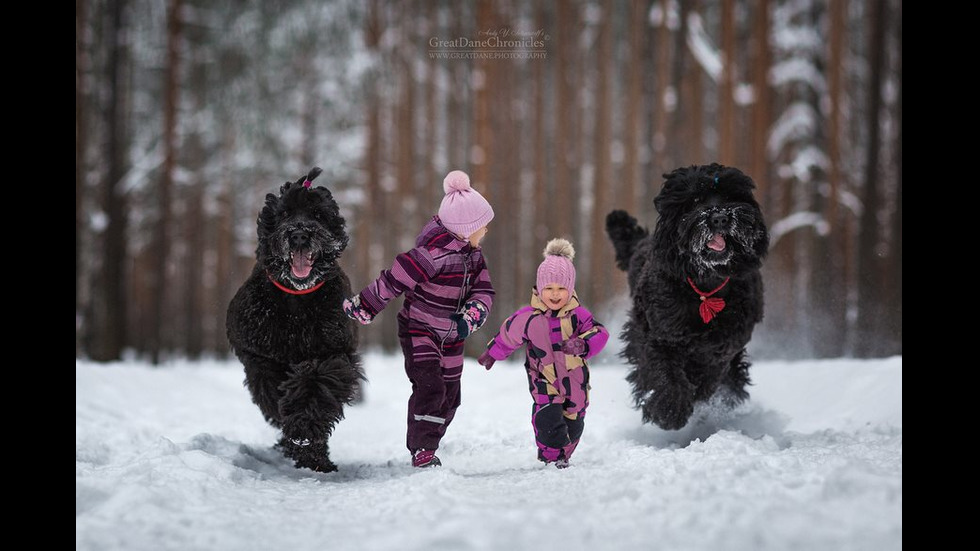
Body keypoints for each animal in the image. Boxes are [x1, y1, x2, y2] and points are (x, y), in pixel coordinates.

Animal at [226, 166, 364, 472]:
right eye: (284, 214)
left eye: (318, 214)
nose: (299, 235)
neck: (297, 300)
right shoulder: (259, 356)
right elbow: (273, 392)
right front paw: (298, 438)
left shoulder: (333, 352)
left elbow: (316, 382)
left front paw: (305, 429)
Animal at [604, 164, 772, 432]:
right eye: (694, 200)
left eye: (729, 196)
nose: (720, 217)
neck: (705, 287)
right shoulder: (658, 335)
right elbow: (663, 371)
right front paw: (670, 410)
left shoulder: (727, 343)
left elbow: (712, 368)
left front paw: (696, 395)